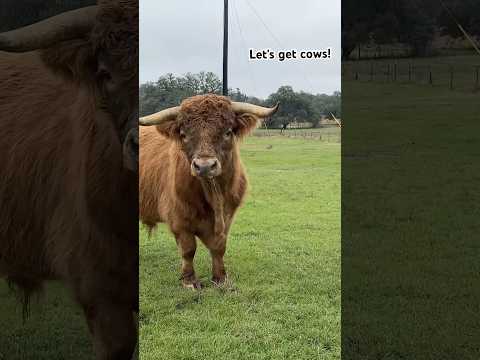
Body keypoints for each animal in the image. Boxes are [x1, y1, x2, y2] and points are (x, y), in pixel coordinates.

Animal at [139, 93, 278, 290]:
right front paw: (189, 281)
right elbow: (188, 250)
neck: (214, 196)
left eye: (228, 132)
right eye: (183, 135)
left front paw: (220, 278)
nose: (204, 166)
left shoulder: (228, 216)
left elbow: (219, 247)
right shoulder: (178, 218)